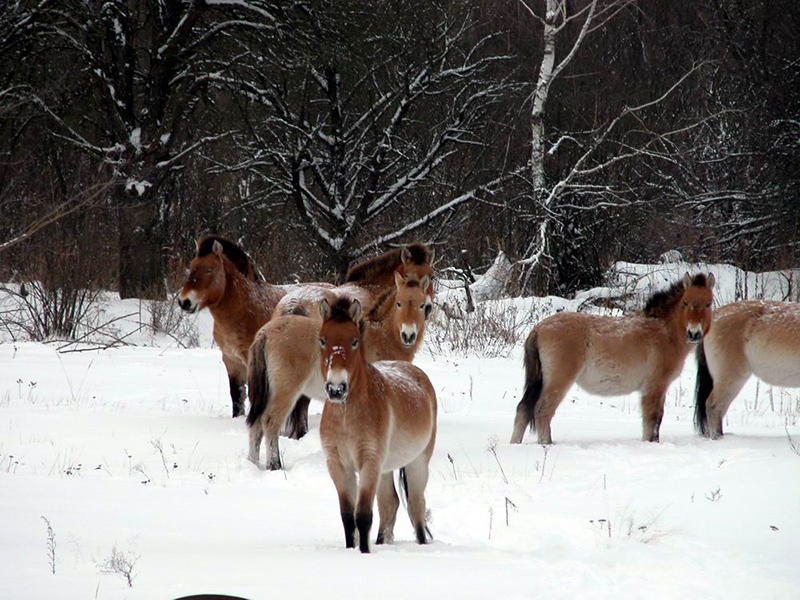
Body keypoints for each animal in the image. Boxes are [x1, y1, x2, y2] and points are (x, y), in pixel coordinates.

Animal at [318, 296, 438, 552]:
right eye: (322, 340)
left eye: (354, 341)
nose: (336, 389)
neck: (347, 417)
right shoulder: (338, 465)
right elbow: (347, 516)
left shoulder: (369, 461)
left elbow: (363, 515)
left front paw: (364, 553)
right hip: (385, 468)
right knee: (389, 504)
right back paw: (383, 542)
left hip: (417, 463)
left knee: (416, 507)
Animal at [512, 274, 720, 442]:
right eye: (685, 303)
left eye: (708, 303)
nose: (694, 333)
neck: (664, 330)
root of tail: (539, 328)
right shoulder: (654, 387)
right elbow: (652, 419)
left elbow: (656, 420)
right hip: (558, 381)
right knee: (542, 411)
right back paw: (546, 444)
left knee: (523, 410)